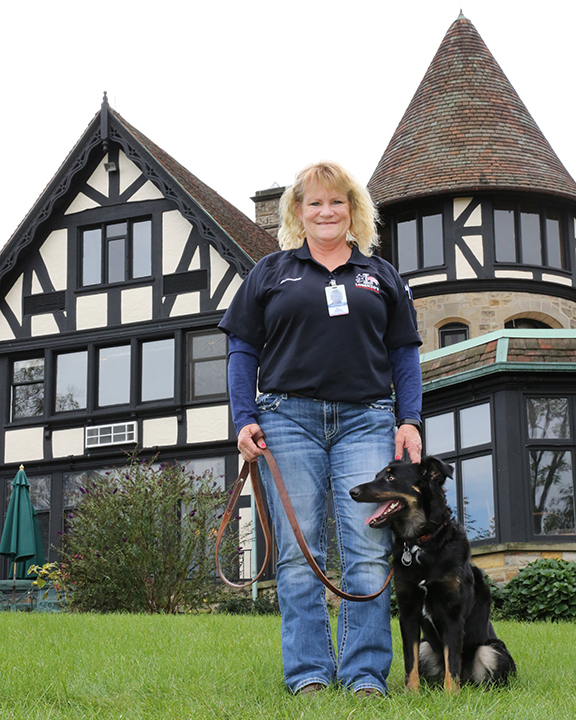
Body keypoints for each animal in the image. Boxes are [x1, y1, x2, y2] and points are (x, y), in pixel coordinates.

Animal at [348, 456, 516, 692]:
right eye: (376, 476)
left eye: (391, 478)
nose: (352, 491)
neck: (421, 543)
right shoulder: (408, 612)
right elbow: (410, 662)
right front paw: (411, 694)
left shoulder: (453, 614)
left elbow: (452, 662)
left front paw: (451, 696)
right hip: (426, 647)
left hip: (490, 651)